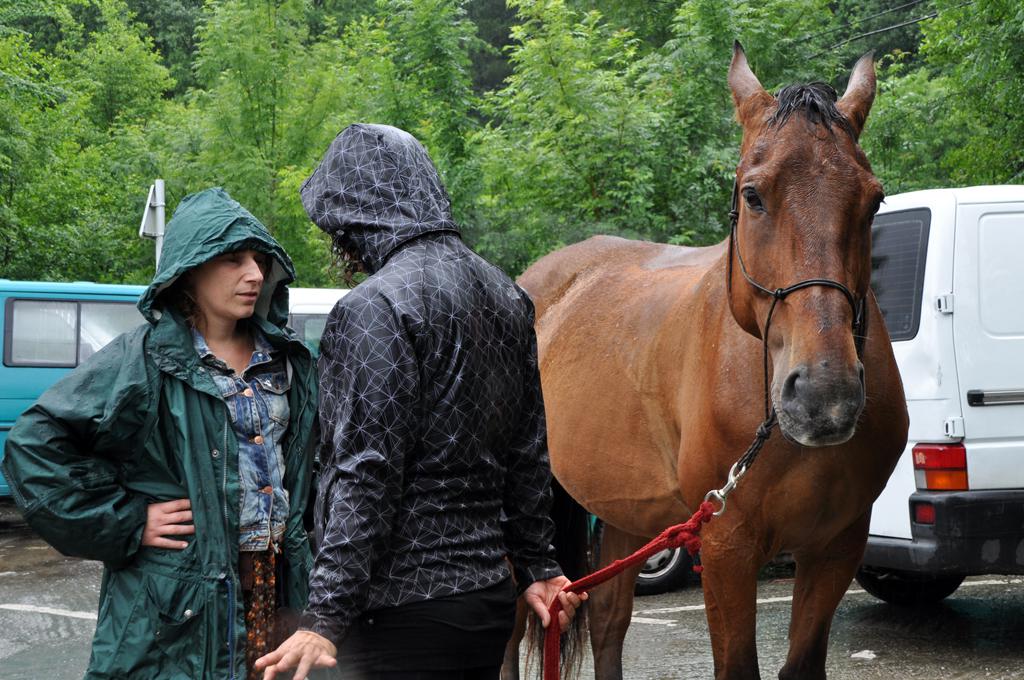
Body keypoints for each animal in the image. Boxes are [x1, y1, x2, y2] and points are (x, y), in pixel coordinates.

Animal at [509, 44, 909, 680]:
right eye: (753, 194)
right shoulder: (725, 547)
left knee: (608, 620)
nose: (824, 397)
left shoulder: (836, 547)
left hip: (624, 514)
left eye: (873, 200)